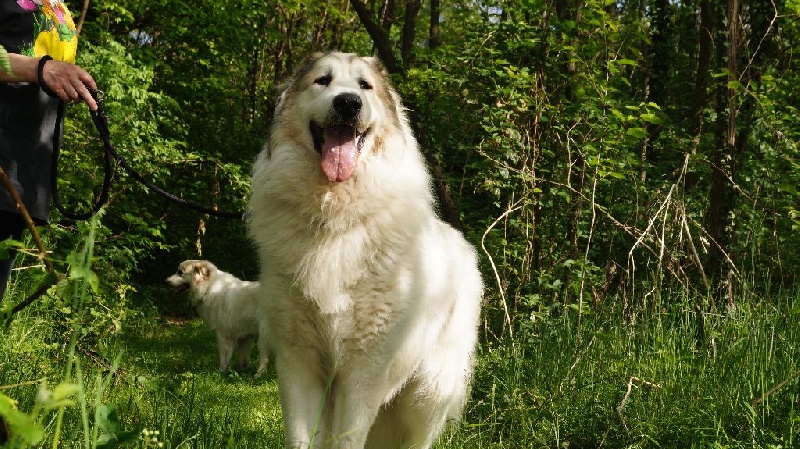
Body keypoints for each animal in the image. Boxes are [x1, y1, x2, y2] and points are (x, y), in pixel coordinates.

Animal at [247, 53, 482, 448]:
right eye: (323, 81)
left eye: (364, 86)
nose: (348, 103)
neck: (335, 219)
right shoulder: (298, 364)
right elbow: (301, 438)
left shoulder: (363, 372)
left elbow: (347, 439)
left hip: (427, 394)